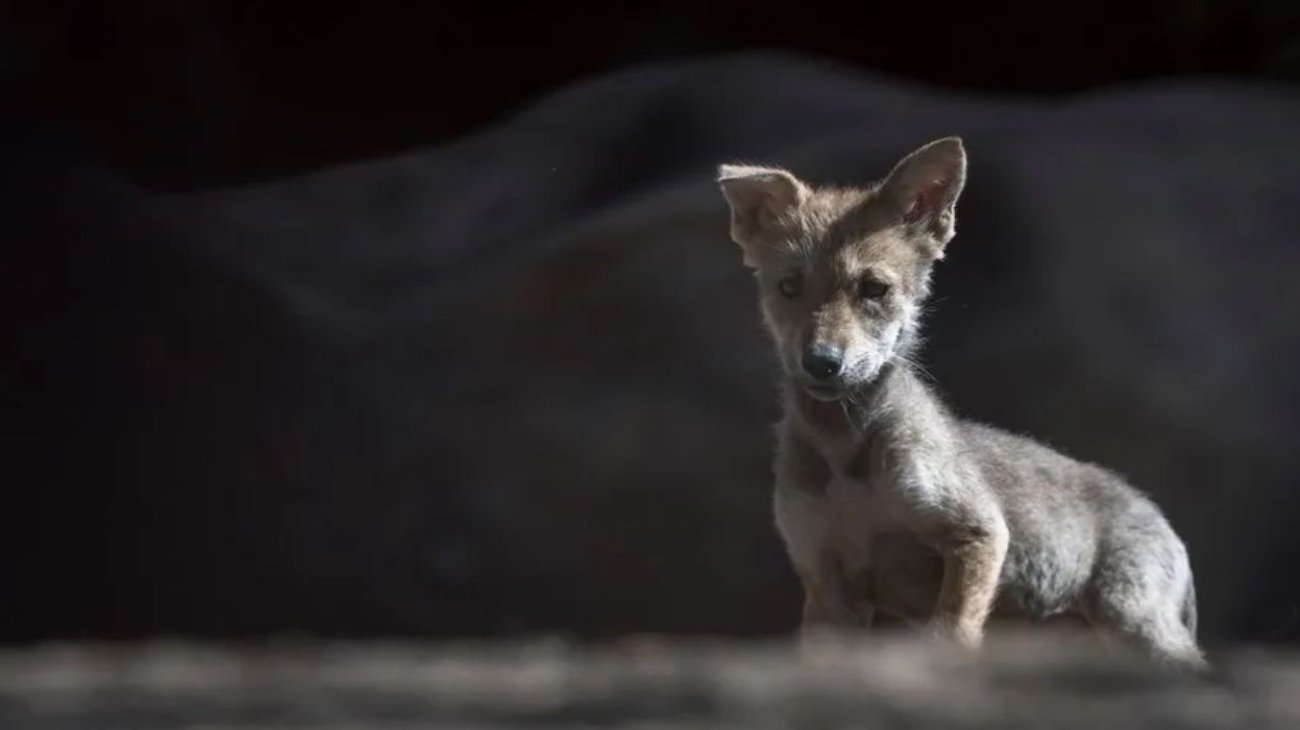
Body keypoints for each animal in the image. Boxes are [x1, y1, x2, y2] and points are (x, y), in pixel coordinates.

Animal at [717, 137, 1206, 670]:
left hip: (1133, 619)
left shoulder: (978, 532)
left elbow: (949, 634)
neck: (845, 457)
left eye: (874, 289)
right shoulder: (827, 586)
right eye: (788, 286)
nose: (822, 363)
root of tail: (1165, 523)